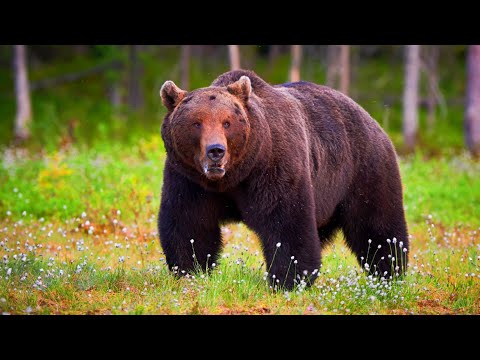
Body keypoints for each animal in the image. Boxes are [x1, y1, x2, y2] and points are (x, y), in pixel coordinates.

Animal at [158, 69, 408, 290]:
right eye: (197, 122)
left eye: (227, 122)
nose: (216, 151)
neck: (234, 176)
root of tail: (371, 119)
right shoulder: (189, 179)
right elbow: (189, 223)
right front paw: (190, 270)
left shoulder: (274, 166)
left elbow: (286, 223)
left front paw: (287, 279)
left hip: (364, 170)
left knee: (377, 225)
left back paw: (390, 272)